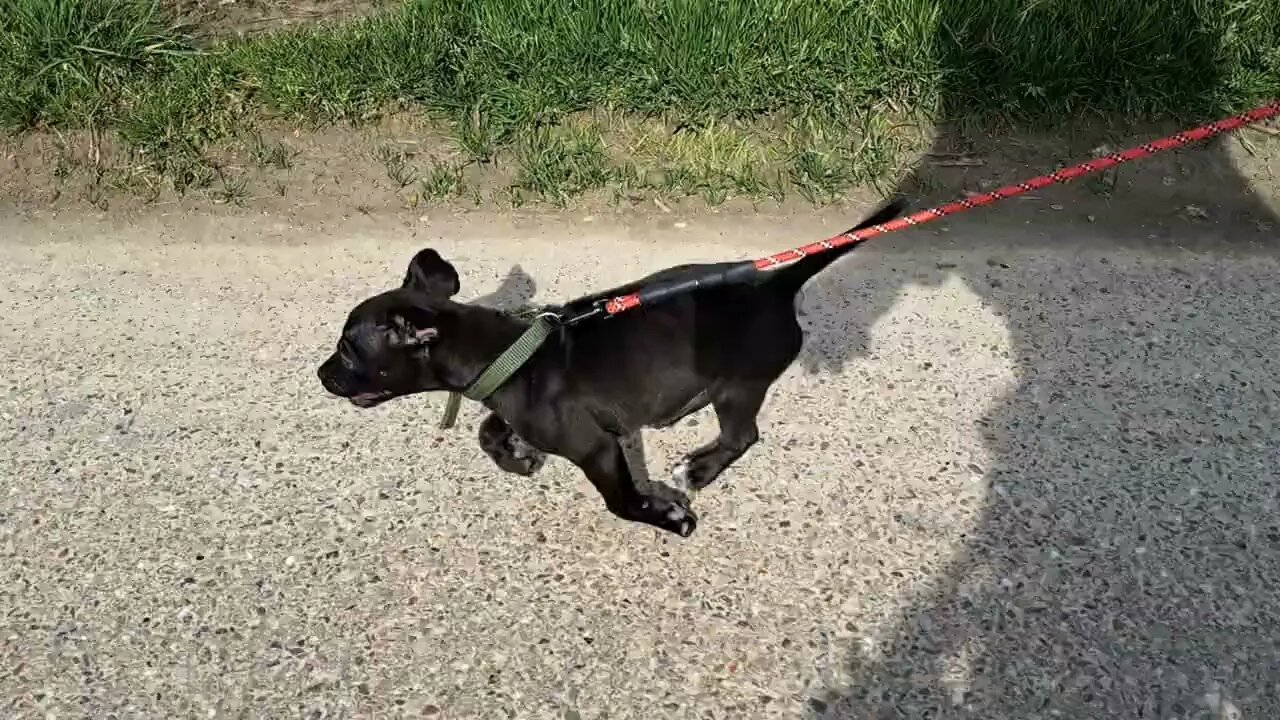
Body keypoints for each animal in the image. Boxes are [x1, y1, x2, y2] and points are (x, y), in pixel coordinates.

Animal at [320, 198, 911, 535]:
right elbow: (488, 430)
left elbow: (620, 501)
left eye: (348, 349)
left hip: (738, 386)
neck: (507, 354)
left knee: (742, 436)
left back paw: (700, 469)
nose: (320, 376)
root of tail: (777, 281)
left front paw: (665, 516)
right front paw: (516, 457)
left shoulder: (597, 448)